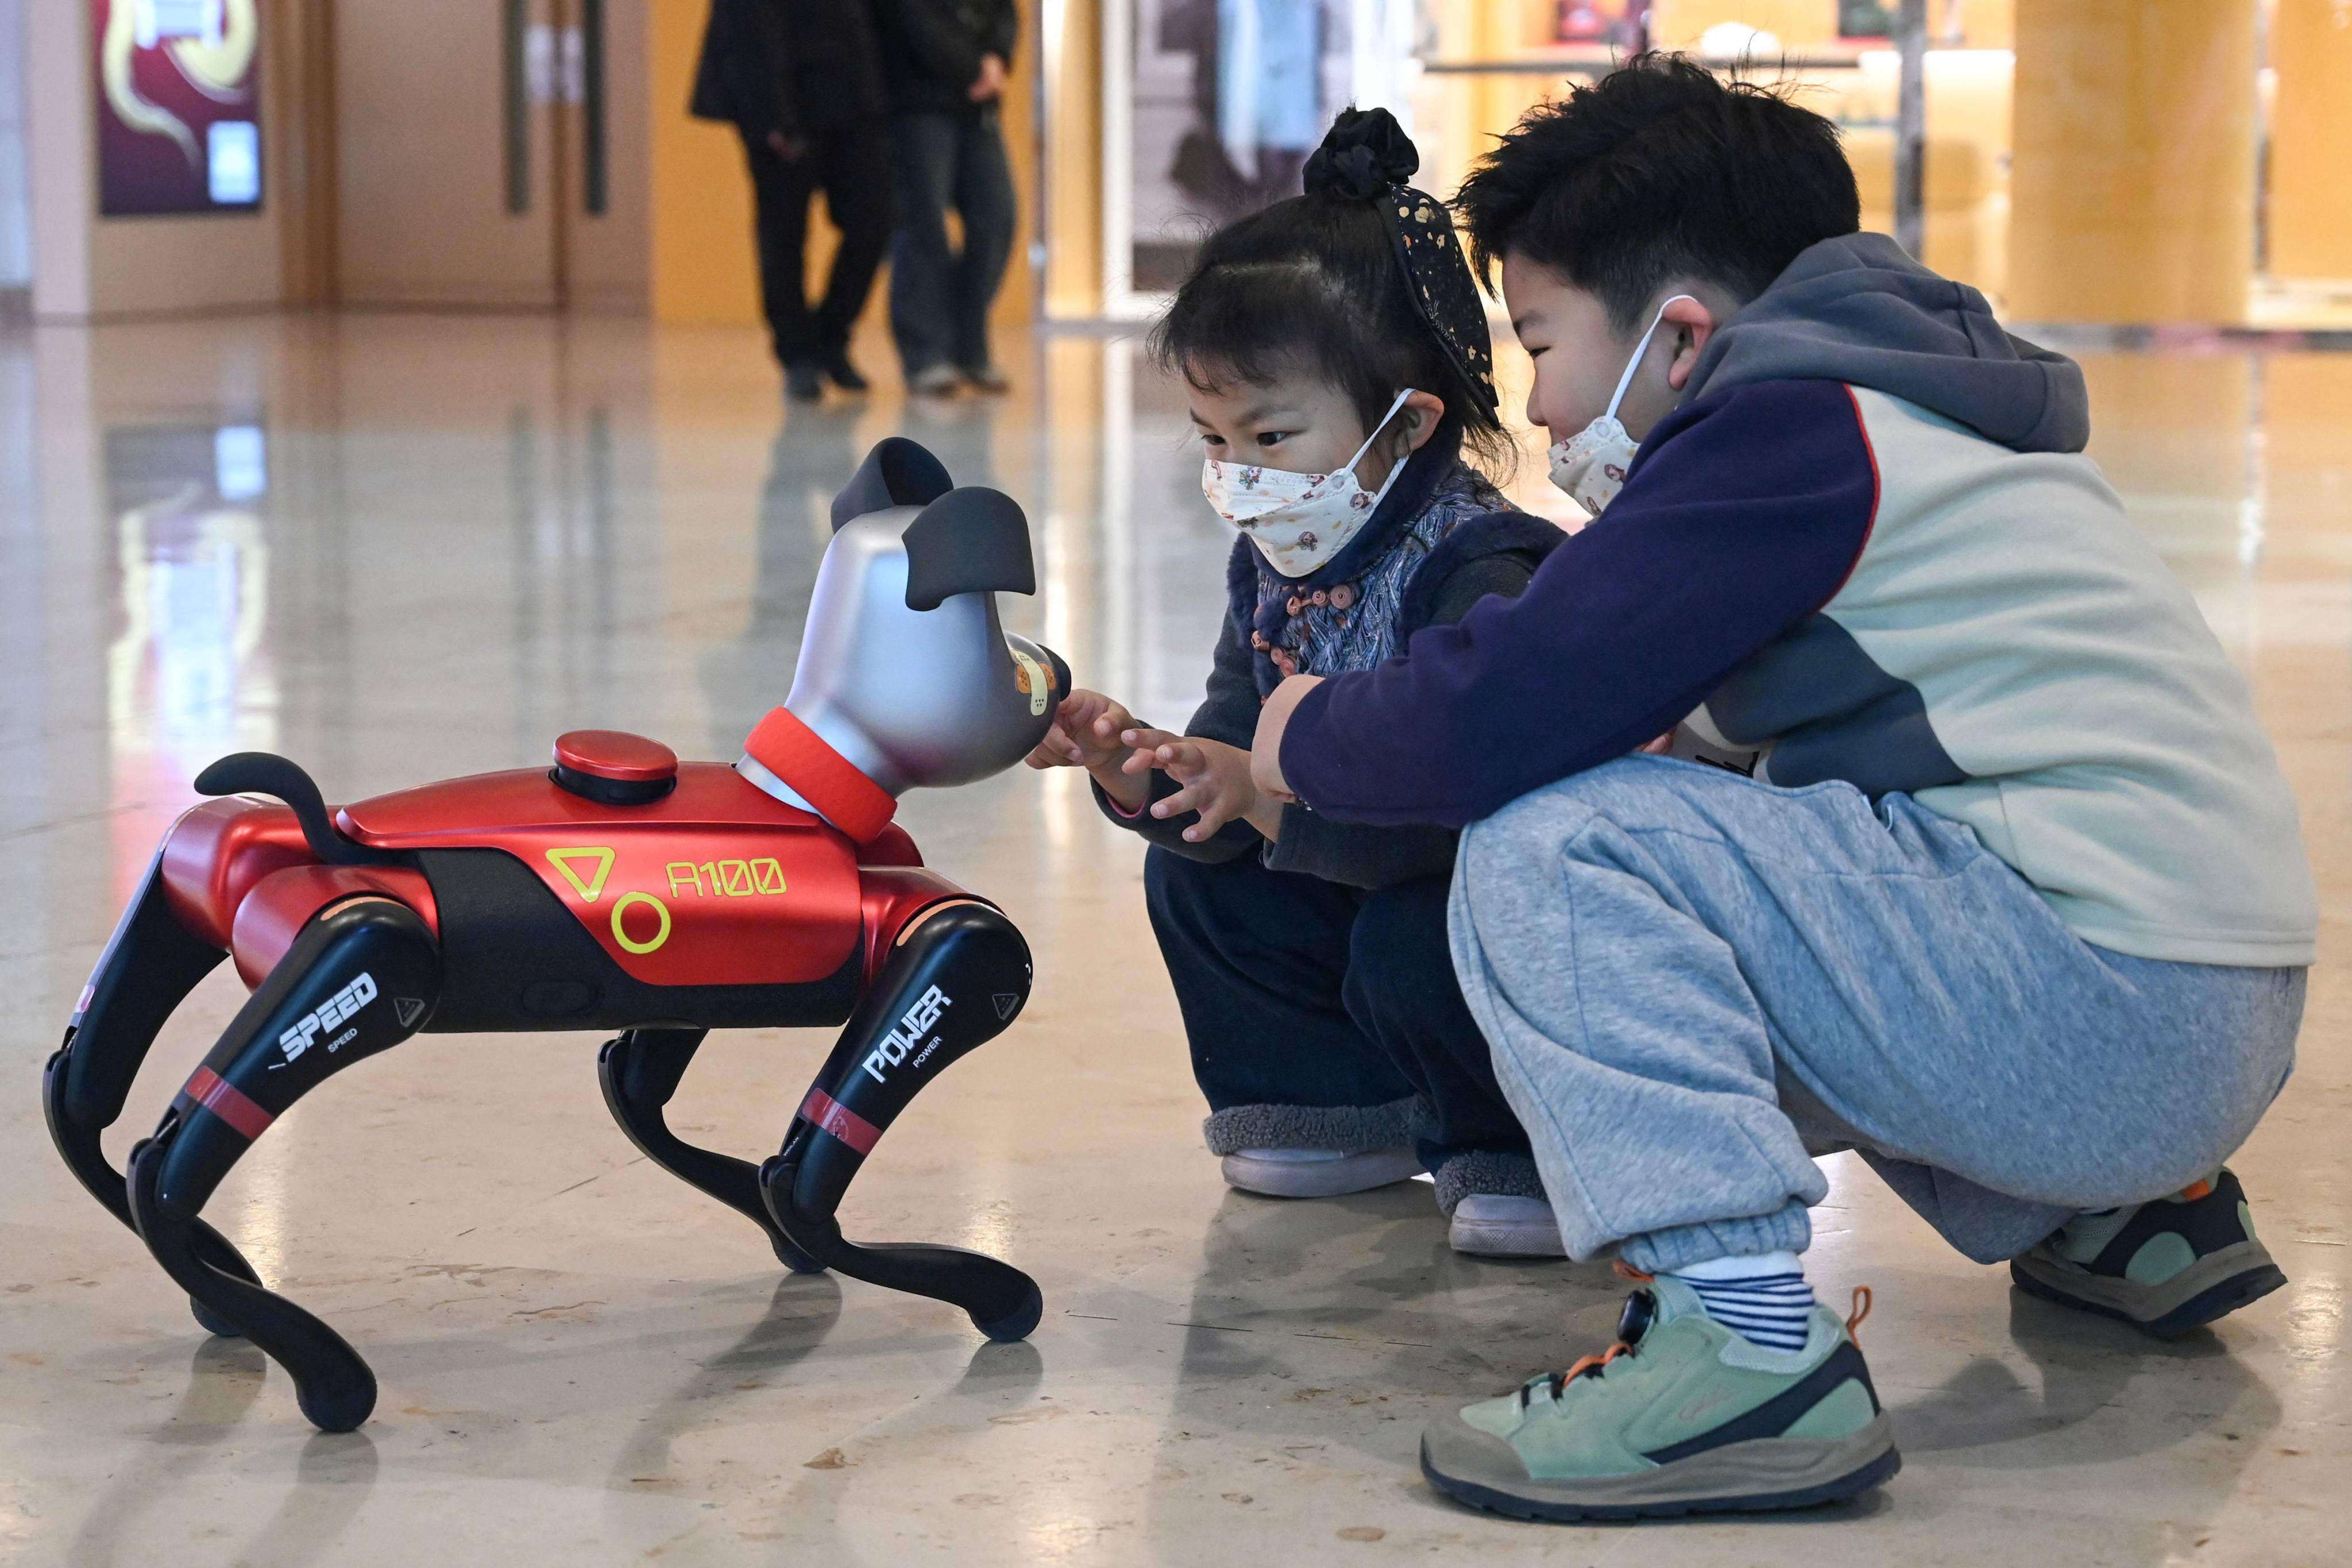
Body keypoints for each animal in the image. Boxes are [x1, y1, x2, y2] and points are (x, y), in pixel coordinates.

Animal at [43, 439, 1068, 1438]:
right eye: (1001, 643)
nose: (1053, 668)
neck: (820, 796)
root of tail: (323, 833)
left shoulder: (696, 989)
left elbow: (642, 1097)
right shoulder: (944, 935)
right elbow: (808, 1180)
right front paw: (990, 1290)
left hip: (211, 856)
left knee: (82, 1095)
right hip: (367, 937)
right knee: (167, 1160)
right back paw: (320, 1368)